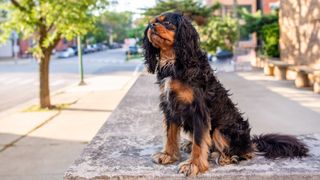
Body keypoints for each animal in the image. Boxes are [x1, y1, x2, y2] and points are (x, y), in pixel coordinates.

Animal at [142, 12, 308, 176]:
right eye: (152, 22)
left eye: (167, 23)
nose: (151, 26)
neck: (173, 61)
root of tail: (250, 141)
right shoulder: (169, 106)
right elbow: (170, 135)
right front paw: (168, 155)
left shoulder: (199, 110)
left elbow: (199, 141)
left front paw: (193, 164)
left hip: (221, 130)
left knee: (244, 152)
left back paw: (226, 157)